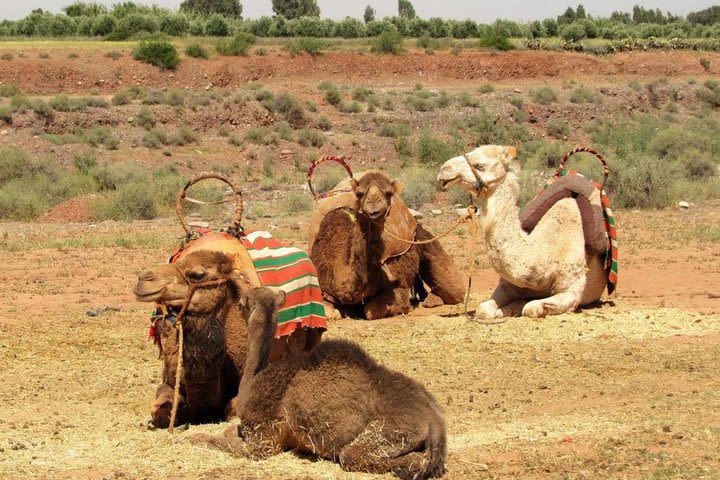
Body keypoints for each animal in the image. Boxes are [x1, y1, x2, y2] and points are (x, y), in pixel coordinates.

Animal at [194, 286, 448, 478]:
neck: (252, 380)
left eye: (242, 304)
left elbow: (221, 441)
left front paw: (195, 437)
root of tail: (435, 420)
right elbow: (228, 431)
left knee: (358, 456)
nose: (236, 304)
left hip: (388, 432)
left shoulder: (263, 438)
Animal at [438, 144, 608, 320]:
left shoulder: (572, 291)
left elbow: (530, 308)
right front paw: (505, 310)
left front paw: (519, 307)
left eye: (480, 165)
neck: (545, 252)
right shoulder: (508, 285)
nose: (444, 169)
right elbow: (483, 310)